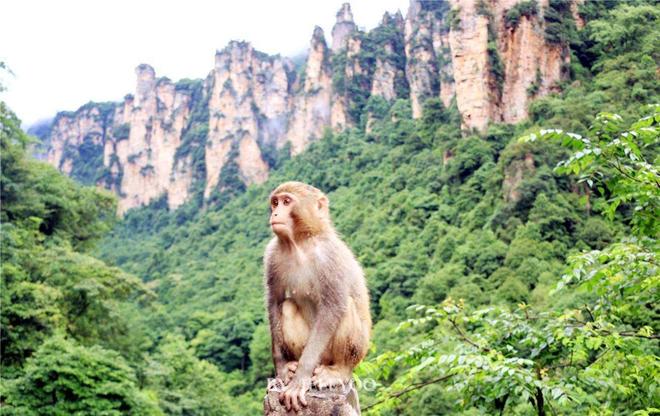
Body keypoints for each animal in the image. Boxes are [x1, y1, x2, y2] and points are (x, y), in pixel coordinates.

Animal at [266, 181, 374, 412]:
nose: (275, 213)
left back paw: (338, 371)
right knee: (287, 307)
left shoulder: (329, 256)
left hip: (344, 351)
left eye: (287, 201)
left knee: (345, 306)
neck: (300, 243)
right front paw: (283, 368)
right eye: (275, 202)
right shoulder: (272, 255)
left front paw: (300, 379)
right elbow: (275, 302)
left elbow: (333, 307)